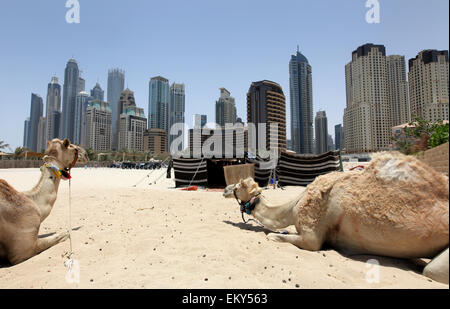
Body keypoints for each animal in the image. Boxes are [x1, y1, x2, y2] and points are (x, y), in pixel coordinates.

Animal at [223, 152, 448, 284]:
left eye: (239, 185)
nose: (225, 189)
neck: (294, 206)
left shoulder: (312, 234)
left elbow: (284, 238)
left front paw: (272, 236)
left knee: (430, 271)